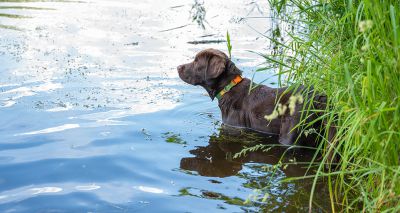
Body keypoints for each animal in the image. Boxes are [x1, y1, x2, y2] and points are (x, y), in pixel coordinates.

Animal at [177, 48, 336, 161]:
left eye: (196, 61)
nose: (178, 67)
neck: (229, 87)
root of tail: (319, 97)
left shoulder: (233, 127)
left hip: (290, 133)